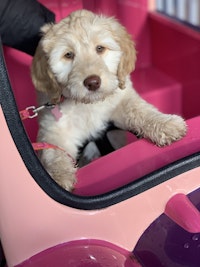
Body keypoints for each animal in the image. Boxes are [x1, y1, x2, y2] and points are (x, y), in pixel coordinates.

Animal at [30, 9, 186, 192]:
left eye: (100, 48)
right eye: (68, 55)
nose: (92, 82)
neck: (88, 104)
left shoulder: (122, 99)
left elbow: (140, 110)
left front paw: (165, 124)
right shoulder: (54, 130)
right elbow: (54, 152)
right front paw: (58, 178)